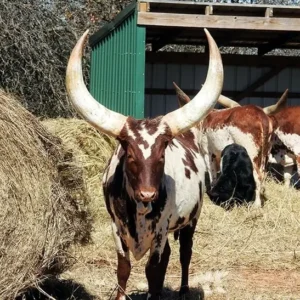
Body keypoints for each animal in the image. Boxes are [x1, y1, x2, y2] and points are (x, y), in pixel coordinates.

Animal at [65, 28, 224, 300]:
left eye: (162, 155)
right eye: (130, 155)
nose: (148, 194)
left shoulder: (160, 230)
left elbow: (154, 271)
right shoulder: (116, 228)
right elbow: (124, 268)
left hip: (192, 219)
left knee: (184, 254)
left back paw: (183, 290)